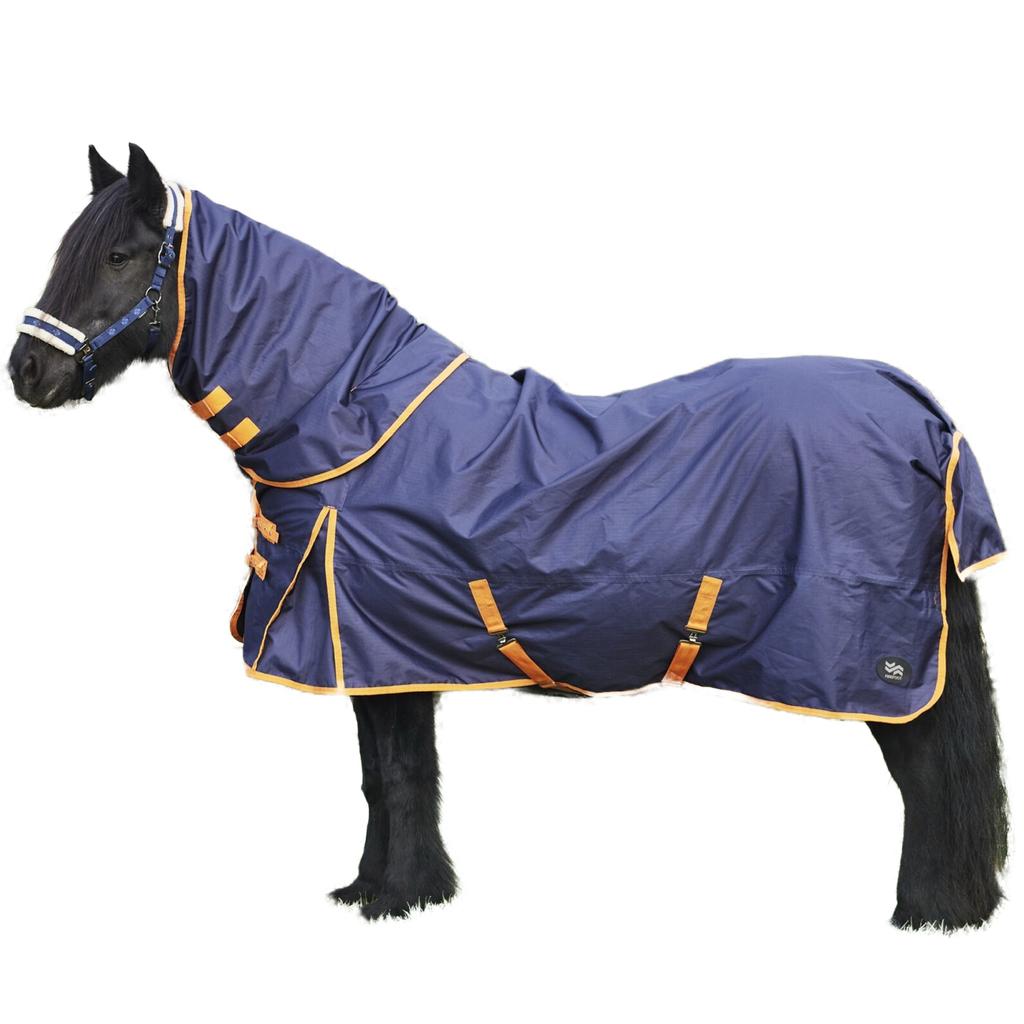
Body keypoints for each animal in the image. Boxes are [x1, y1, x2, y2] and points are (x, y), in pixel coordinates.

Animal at [8, 144, 1009, 927]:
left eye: (122, 254)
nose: (27, 373)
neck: (352, 423)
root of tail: (925, 414)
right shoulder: (382, 656)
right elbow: (383, 775)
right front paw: (383, 888)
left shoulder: (377, 645)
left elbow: (396, 775)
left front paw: (394, 899)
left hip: (880, 661)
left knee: (927, 775)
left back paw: (928, 913)